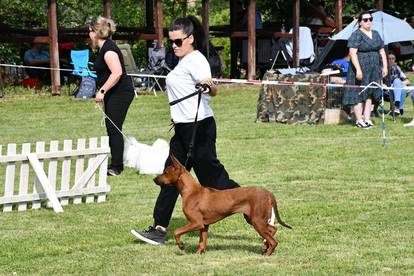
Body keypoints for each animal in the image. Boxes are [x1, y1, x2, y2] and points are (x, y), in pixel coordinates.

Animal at [152, 155, 292, 256]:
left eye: (165, 172)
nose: (154, 179)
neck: (191, 191)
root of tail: (268, 192)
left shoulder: (196, 223)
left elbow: (177, 231)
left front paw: (181, 245)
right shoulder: (204, 225)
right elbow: (202, 242)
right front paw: (198, 254)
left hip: (257, 221)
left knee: (273, 240)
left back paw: (268, 253)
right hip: (253, 219)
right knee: (273, 229)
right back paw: (265, 246)